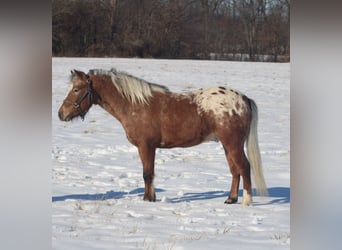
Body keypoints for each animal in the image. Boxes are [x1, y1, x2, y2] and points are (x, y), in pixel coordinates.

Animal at [57, 68, 268, 205]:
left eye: (76, 89)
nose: (61, 114)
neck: (135, 104)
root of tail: (243, 99)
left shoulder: (146, 146)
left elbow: (147, 174)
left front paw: (147, 199)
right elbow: (149, 173)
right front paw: (151, 197)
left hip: (233, 144)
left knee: (244, 167)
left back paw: (246, 200)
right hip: (226, 145)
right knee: (235, 170)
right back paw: (231, 199)